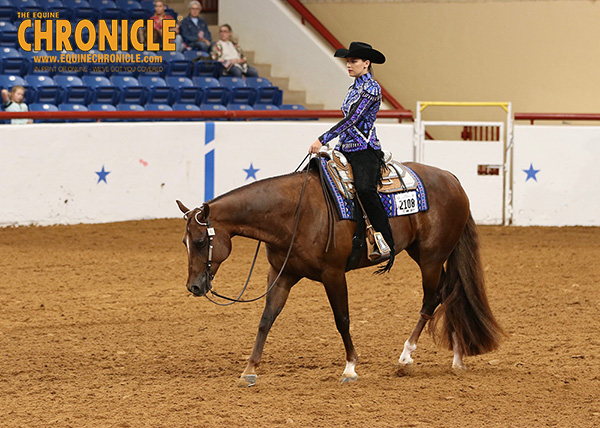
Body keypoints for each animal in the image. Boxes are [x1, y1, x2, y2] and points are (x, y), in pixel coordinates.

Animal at [176, 160, 504, 388]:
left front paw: (350, 368)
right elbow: (266, 319)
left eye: (201, 241)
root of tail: (452, 179)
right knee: (452, 293)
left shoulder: (333, 274)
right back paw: (457, 357)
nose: (194, 287)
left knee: (432, 298)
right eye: (184, 241)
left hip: (432, 257)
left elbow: (342, 319)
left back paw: (407, 356)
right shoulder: (282, 273)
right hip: (425, 253)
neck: (295, 212)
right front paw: (249, 370)